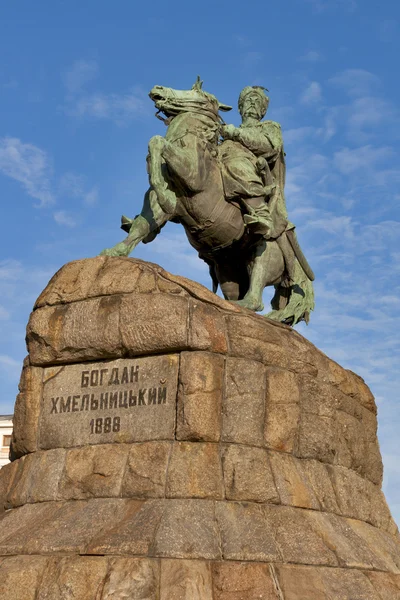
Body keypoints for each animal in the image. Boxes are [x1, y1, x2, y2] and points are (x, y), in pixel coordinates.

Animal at [101, 79, 314, 326]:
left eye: (197, 92)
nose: (158, 89)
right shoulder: (155, 205)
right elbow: (141, 226)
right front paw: (115, 251)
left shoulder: (192, 176)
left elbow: (157, 142)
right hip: (228, 273)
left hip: (263, 253)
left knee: (257, 296)